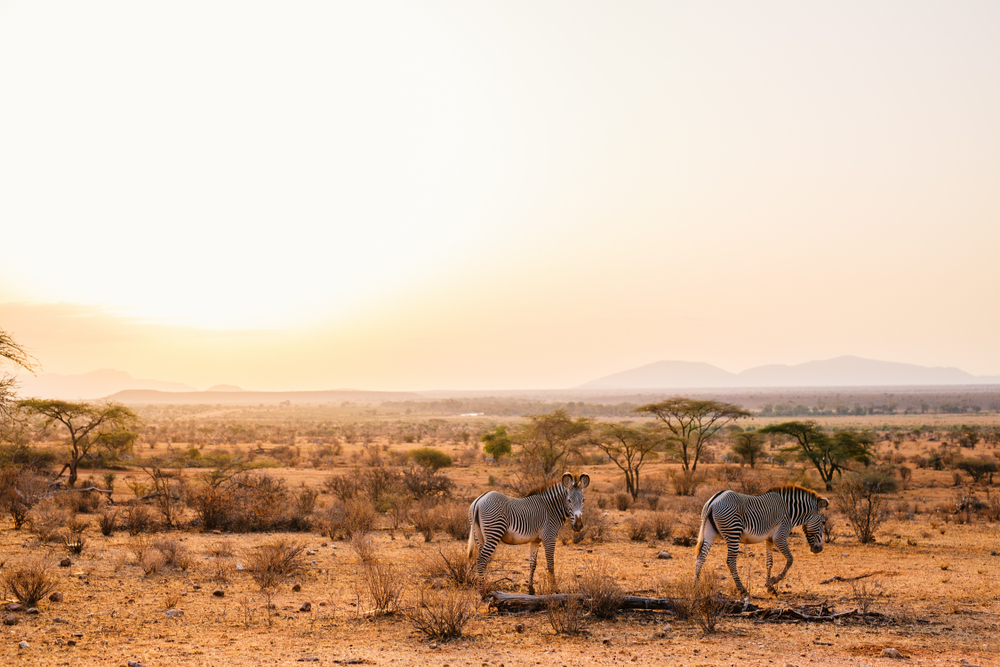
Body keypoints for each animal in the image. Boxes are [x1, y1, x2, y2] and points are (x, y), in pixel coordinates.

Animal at [694, 484, 829, 597]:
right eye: (823, 522)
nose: (819, 549)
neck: (789, 512)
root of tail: (714, 501)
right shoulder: (779, 537)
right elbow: (790, 559)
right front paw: (774, 580)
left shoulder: (769, 539)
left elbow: (769, 563)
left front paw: (769, 587)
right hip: (733, 531)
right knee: (730, 561)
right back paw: (742, 589)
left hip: (709, 531)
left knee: (701, 557)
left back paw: (695, 585)